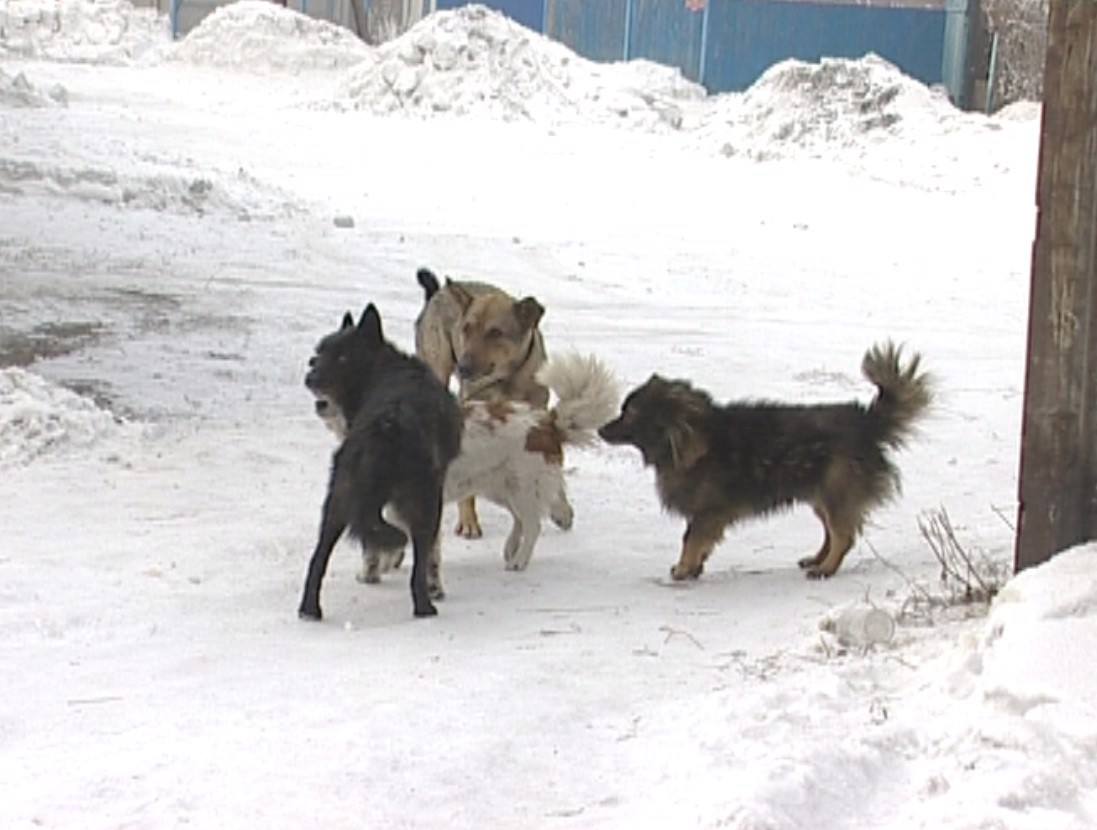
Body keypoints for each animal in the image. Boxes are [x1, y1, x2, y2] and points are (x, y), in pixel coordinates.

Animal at [298, 302, 460, 614]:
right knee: (419, 558)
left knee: (319, 557)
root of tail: (386, 425)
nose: (310, 378)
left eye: (342, 357)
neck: (382, 368)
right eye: (318, 356)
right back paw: (424, 607)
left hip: (338, 499)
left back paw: (309, 609)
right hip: (425, 499)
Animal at [311, 348, 618, 587]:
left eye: (339, 361)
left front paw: (375, 571)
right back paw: (511, 549)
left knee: (532, 524)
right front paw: (389, 563)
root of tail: (546, 423)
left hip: (521, 487)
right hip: (501, 488)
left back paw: (519, 561)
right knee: (520, 519)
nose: (312, 381)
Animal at [414, 267, 574, 537]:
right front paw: (468, 520)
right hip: (437, 366)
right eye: (466, 328)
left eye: (495, 332)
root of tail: (439, 292)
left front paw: (561, 509)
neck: (506, 380)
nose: (464, 367)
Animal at [596, 344, 930, 583]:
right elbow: (698, 542)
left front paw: (684, 568)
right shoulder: (707, 516)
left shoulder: (709, 512)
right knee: (831, 532)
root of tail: (866, 422)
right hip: (820, 495)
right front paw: (694, 567)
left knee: (843, 536)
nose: (600, 429)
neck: (695, 438)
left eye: (629, 414)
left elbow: (690, 539)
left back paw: (826, 569)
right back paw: (818, 559)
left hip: (834, 492)